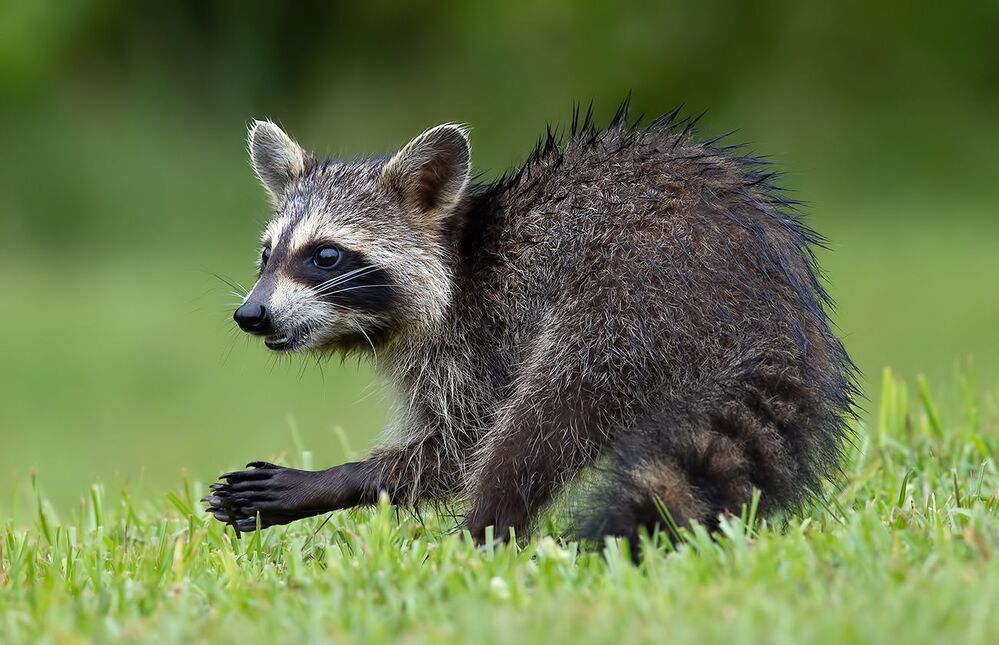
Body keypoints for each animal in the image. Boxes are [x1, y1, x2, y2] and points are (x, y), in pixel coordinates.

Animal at [203, 103, 857, 554]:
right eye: (266, 254)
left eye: (325, 256)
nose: (250, 315)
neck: (461, 259)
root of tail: (779, 306)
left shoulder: (485, 330)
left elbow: (464, 444)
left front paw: (336, 480)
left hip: (635, 300)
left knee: (545, 419)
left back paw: (481, 537)